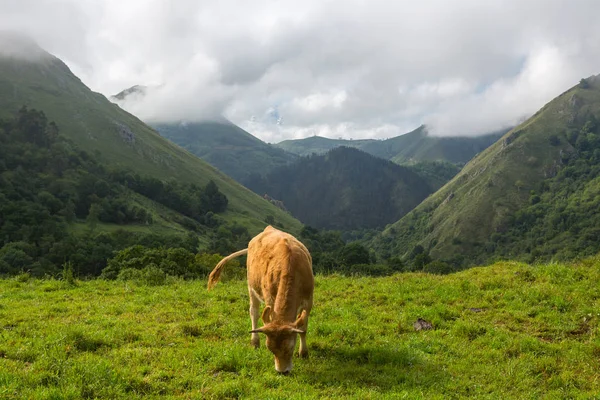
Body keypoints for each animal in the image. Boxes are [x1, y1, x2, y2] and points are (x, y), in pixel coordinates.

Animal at [207, 227, 314, 374]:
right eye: (271, 349)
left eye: (290, 348)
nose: (282, 372)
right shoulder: (270, 300)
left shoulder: (308, 301)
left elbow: (303, 328)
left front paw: (303, 353)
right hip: (251, 287)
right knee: (254, 312)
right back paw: (254, 342)